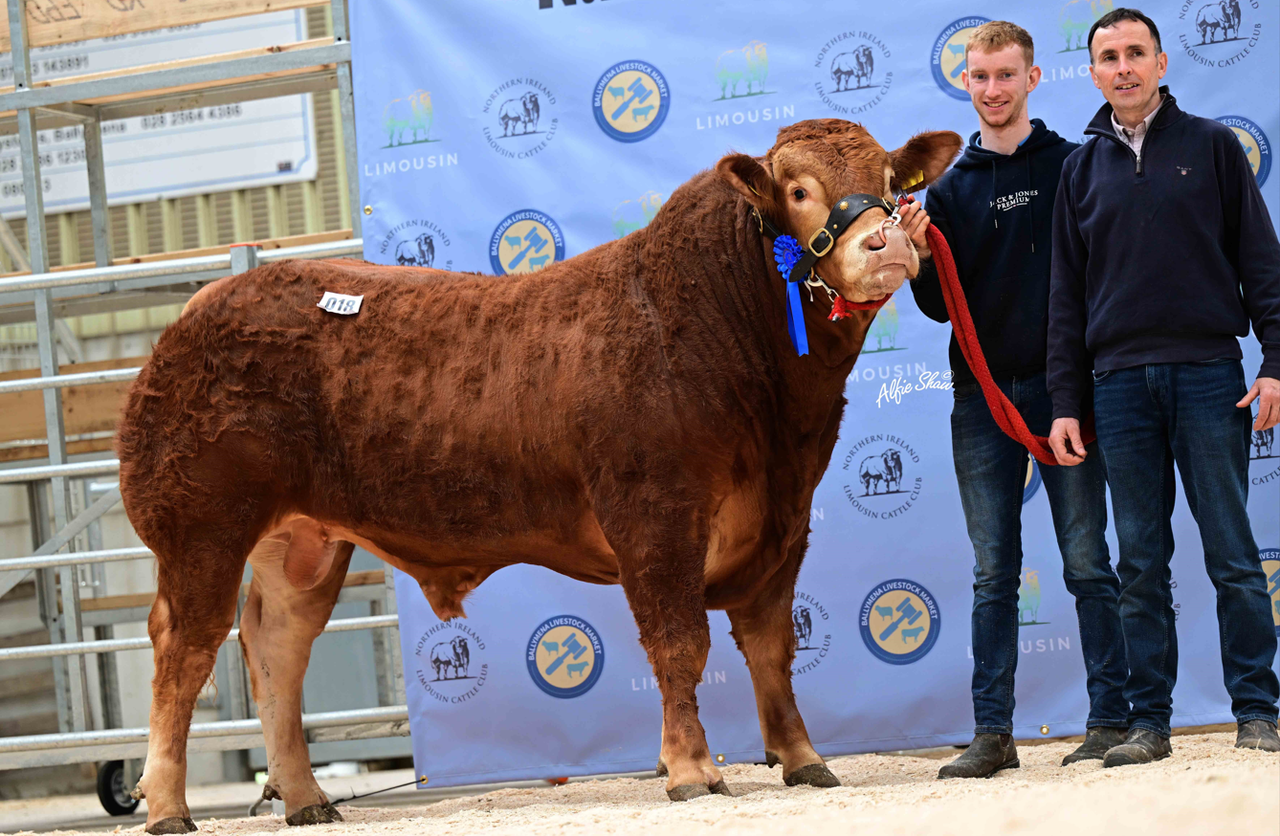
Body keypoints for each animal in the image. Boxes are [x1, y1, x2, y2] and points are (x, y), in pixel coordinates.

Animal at [118, 118, 960, 832]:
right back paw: (167, 806)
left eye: (892, 179)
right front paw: (691, 769)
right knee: (182, 652)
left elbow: (771, 648)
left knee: (276, 648)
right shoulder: (655, 515)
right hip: (201, 529)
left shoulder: (785, 521)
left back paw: (306, 799)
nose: (887, 242)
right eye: (799, 191)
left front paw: (804, 758)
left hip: (303, 543)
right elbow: (680, 644)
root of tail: (203, 304)